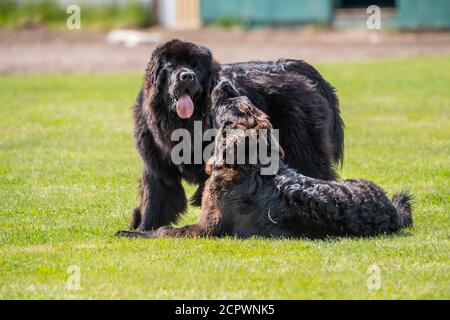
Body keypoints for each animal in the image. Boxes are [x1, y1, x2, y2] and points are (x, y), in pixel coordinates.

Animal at [116, 81, 412, 239]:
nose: (224, 84)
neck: (249, 165)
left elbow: (164, 231)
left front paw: (132, 234)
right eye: (248, 105)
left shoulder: (205, 228)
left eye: (231, 108)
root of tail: (392, 211)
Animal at [128, 38, 342, 231]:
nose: (187, 76)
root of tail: (300, 71)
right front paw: (144, 227)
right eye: (172, 66)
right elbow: (154, 198)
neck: (181, 122)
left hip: (303, 149)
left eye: (196, 67)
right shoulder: (156, 165)